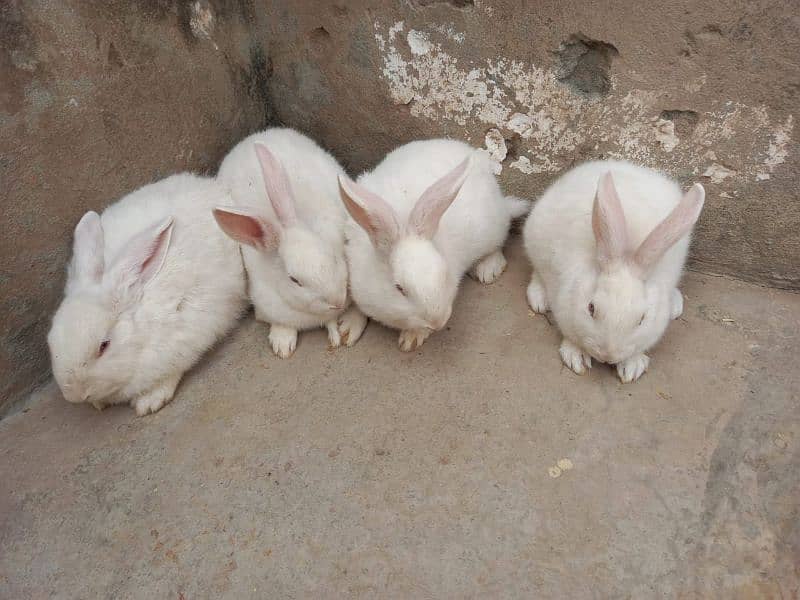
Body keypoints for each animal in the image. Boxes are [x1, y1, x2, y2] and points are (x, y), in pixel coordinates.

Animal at [48, 172, 247, 412]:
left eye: (103, 346)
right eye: (50, 341)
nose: (74, 396)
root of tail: (211, 185)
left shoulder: (186, 338)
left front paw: (149, 402)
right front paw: (98, 403)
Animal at [209, 127, 366, 356]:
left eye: (335, 257)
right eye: (294, 280)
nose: (337, 301)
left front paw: (347, 330)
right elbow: (282, 324)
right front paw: (282, 345)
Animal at [340, 138, 532, 350]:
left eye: (443, 276)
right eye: (399, 288)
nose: (437, 322)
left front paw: (412, 338)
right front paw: (347, 328)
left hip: (491, 229)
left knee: (497, 244)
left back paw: (488, 270)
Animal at [524, 159, 708, 382]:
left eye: (642, 319)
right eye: (591, 308)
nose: (607, 356)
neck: (628, 252)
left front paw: (632, 366)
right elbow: (570, 336)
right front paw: (576, 356)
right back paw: (540, 300)